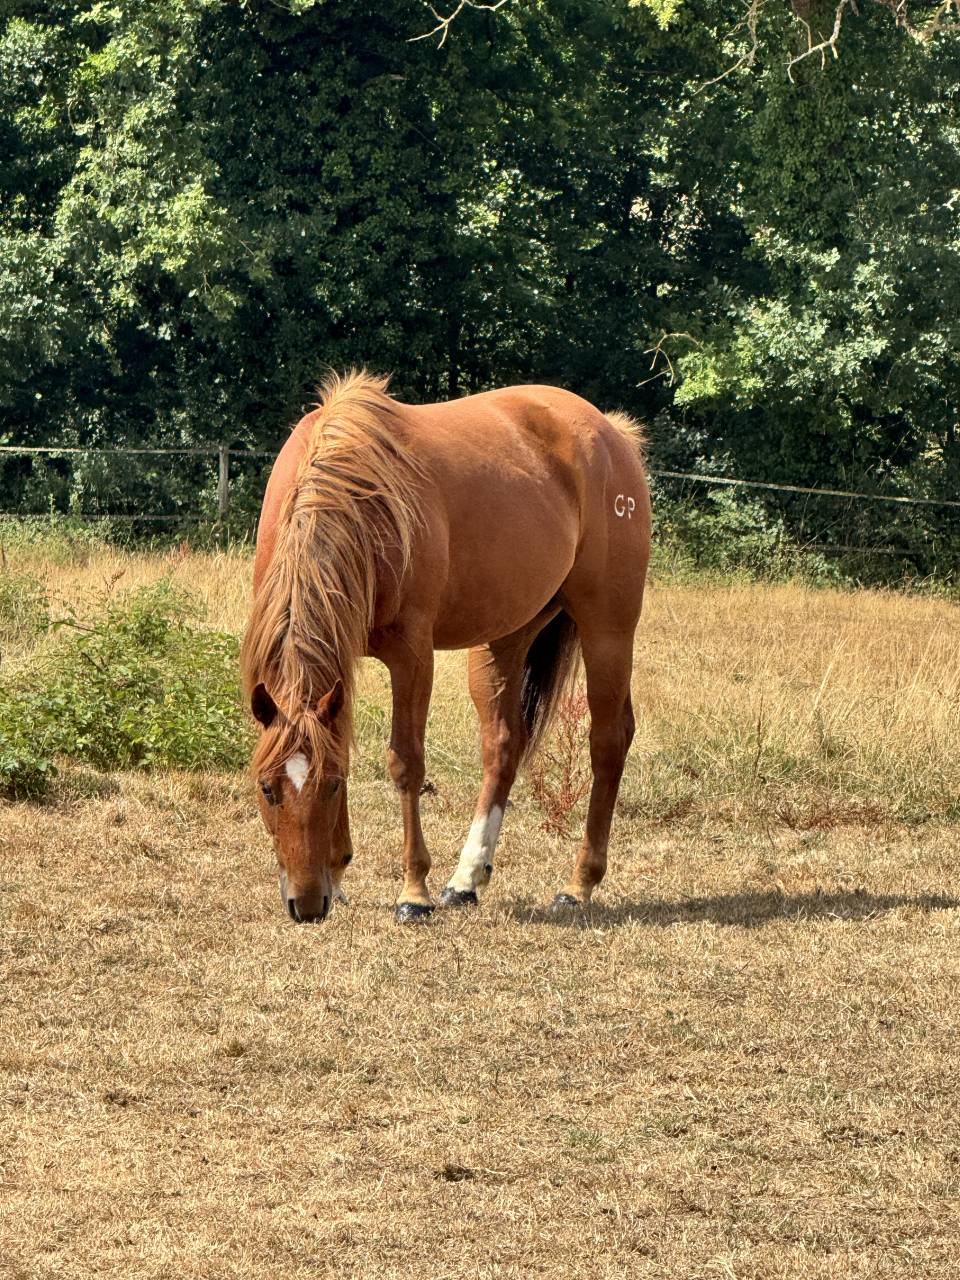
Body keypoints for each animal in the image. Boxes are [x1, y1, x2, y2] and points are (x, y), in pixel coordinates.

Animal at [241, 371, 650, 923]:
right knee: (503, 746)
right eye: (267, 788)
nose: (306, 905)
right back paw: (466, 878)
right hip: (507, 635)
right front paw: (341, 874)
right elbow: (343, 736)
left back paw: (578, 884)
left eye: (331, 785)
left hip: (608, 628)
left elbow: (406, 763)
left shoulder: (412, 655)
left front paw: (413, 891)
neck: (351, 492)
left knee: (608, 741)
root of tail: (612, 434)